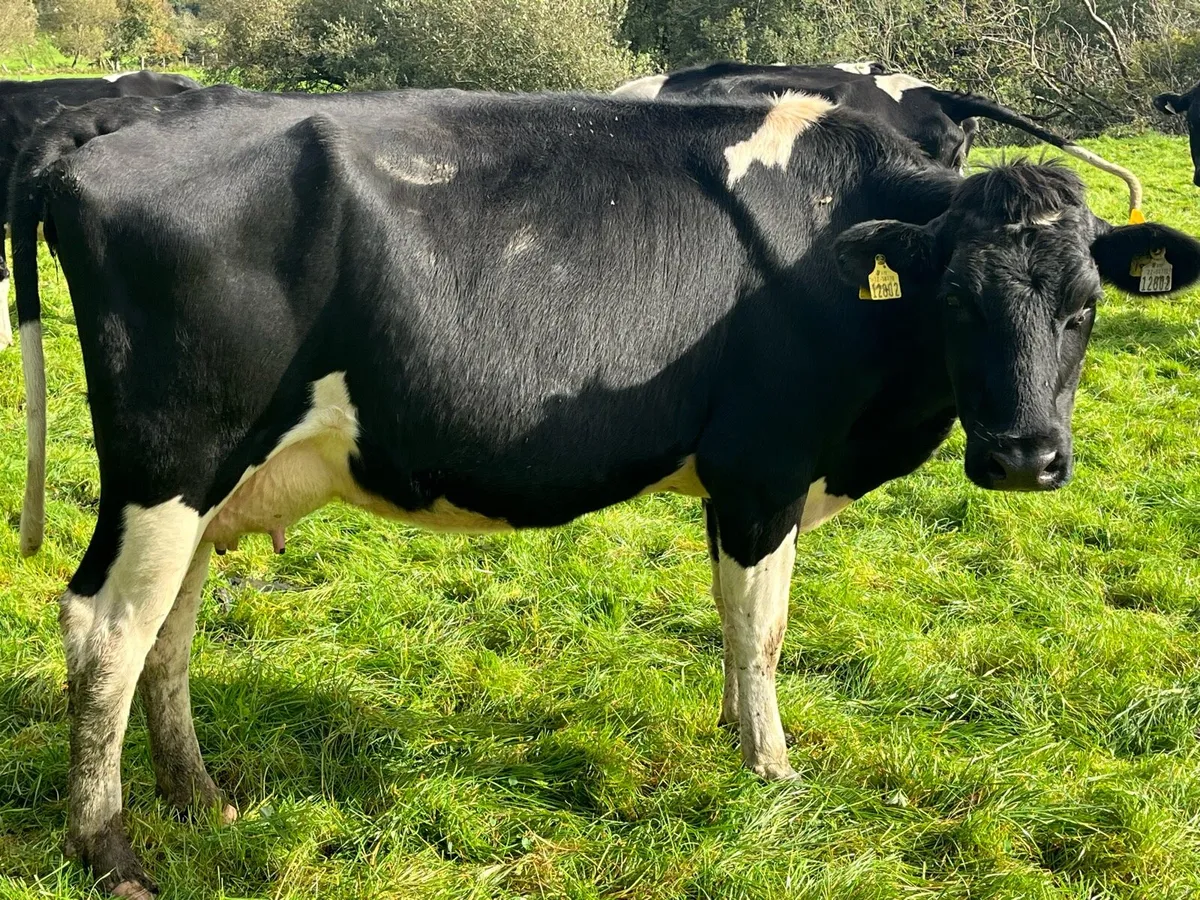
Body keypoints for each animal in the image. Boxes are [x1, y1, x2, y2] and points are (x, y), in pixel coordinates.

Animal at [12, 84, 1200, 898]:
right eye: (954, 298)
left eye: (1086, 304)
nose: (1023, 459)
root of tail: (117, 125)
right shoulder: (764, 465)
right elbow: (762, 628)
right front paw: (770, 769)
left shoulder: (747, 481)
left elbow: (737, 623)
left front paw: (732, 735)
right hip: (168, 462)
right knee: (104, 632)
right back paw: (109, 849)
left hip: (210, 483)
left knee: (167, 632)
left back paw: (199, 798)